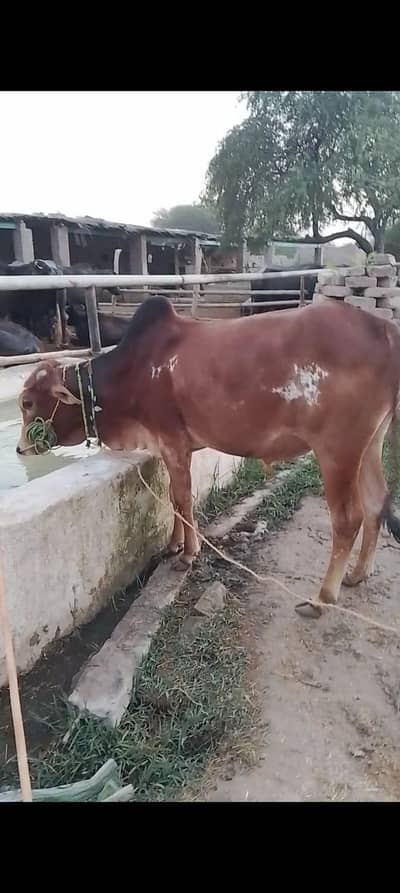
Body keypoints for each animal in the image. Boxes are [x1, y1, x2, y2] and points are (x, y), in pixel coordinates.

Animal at [16, 295, 400, 619]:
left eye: (27, 402)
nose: (20, 448)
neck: (132, 371)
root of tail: (383, 328)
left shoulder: (173, 443)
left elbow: (183, 499)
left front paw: (188, 554)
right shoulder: (166, 448)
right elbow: (172, 499)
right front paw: (173, 546)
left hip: (337, 449)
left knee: (348, 519)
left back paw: (322, 598)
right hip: (368, 445)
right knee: (376, 503)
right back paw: (357, 574)